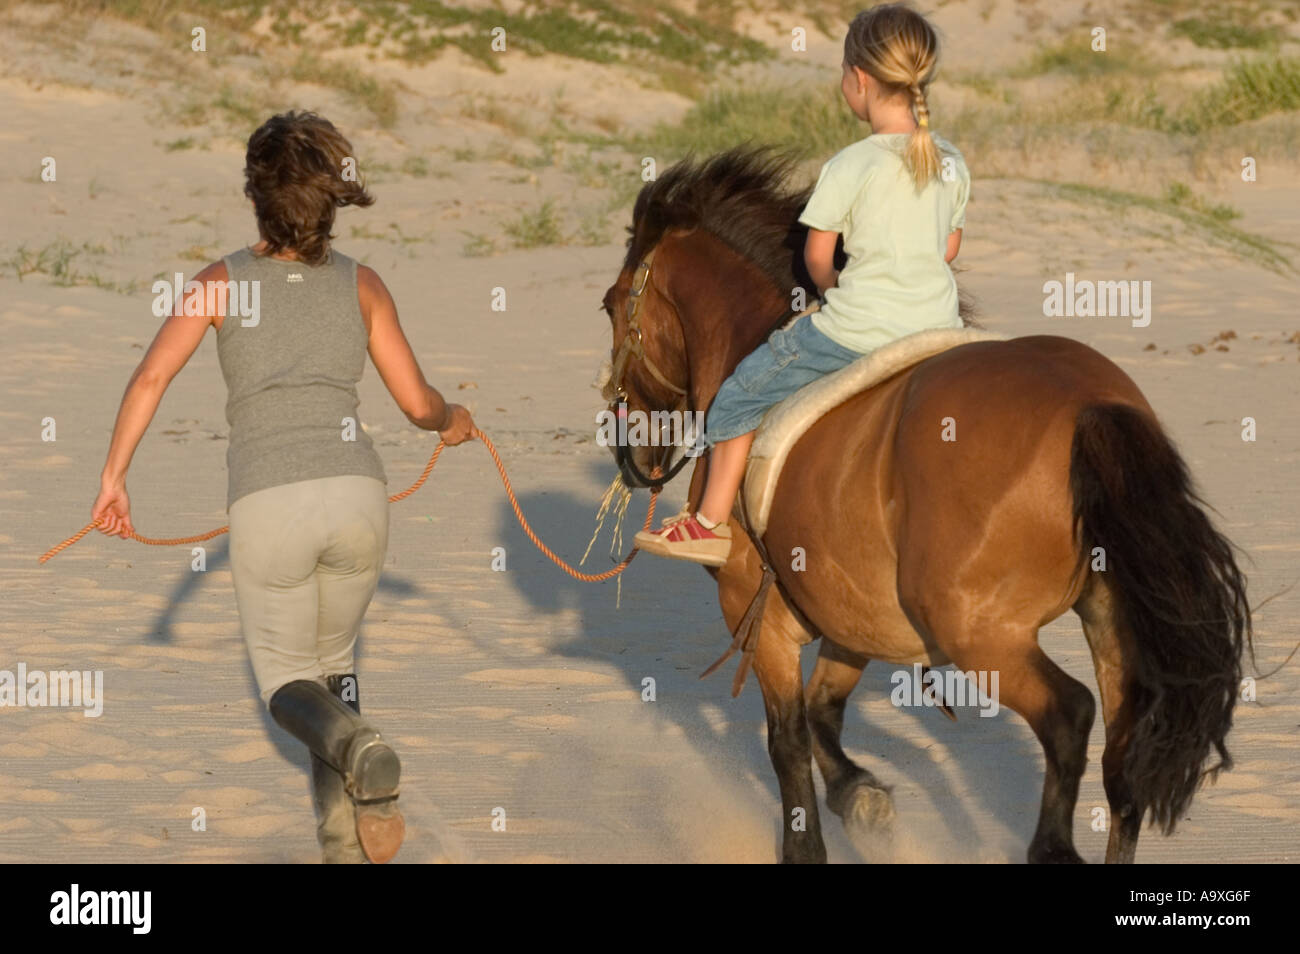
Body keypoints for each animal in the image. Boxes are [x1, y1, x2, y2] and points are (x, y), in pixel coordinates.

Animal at [597, 148, 1250, 863]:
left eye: (609, 306)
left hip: (979, 634)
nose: (632, 447)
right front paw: (865, 802)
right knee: (1123, 758)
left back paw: (1051, 845)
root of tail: (1089, 405)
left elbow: (787, 744)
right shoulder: (850, 617)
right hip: (1105, 618)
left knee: (1069, 715)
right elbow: (824, 716)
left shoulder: (755, 609)